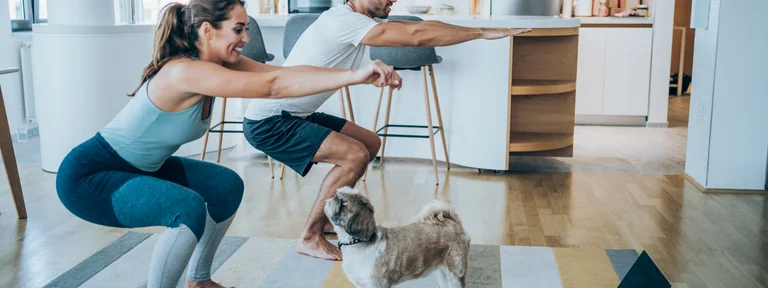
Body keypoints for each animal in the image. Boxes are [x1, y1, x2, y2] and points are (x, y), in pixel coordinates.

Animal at [322, 186, 472, 286]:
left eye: (344, 202)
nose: (332, 197)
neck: (358, 243)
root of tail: (452, 222)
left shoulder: (377, 284)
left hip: (455, 270)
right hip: (442, 271)